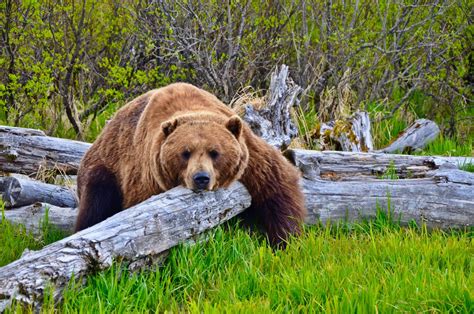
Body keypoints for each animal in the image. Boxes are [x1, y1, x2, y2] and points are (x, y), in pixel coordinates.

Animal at [76, 83, 306, 245]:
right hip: (104, 168)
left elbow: (277, 188)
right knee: (95, 204)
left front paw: (285, 239)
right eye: (185, 153)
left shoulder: (250, 158)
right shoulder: (146, 177)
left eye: (215, 152)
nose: (201, 178)